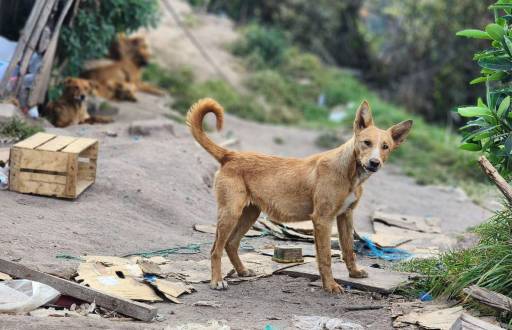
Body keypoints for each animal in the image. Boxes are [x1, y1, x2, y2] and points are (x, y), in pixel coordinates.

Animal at [187, 98, 412, 294]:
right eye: (366, 142)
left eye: (385, 147)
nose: (375, 163)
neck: (349, 172)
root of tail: (230, 155)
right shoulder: (322, 219)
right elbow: (326, 257)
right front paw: (330, 286)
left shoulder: (345, 216)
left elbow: (349, 250)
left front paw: (354, 273)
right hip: (231, 213)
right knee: (216, 249)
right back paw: (217, 281)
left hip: (250, 214)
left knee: (231, 244)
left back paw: (242, 271)